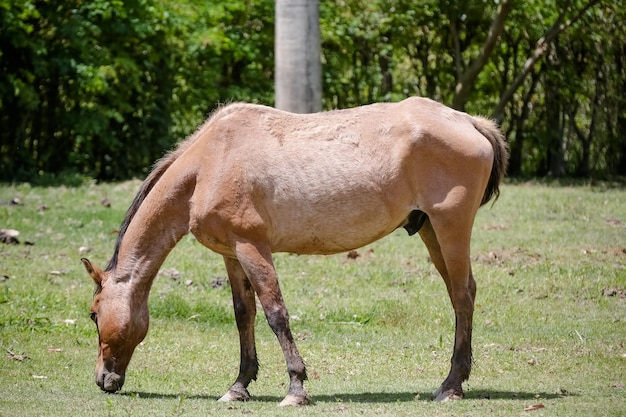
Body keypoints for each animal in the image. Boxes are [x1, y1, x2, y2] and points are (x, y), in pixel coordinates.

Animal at [80, 96, 508, 404]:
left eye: (93, 314)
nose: (103, 379)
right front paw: (239, 386)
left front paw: (296, 388)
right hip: (431, 230)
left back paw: (451, 386)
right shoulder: (232, 254)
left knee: (462, 295)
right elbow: (244, 315)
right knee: (459, 295)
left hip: (450, 228)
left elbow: (275, 314)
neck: (210, 162)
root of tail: (469, 122)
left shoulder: (253, 247)